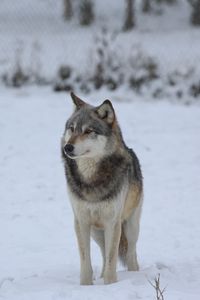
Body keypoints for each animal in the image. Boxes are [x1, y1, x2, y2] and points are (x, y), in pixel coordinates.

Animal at [60, 92, 142, 284]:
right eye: (72, 128)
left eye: (88, 131)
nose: (68, 147)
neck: (91, 178)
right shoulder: (81, 221)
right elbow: (86, 262)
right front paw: (86, 285)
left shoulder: (113, 222)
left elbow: (113, 260)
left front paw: (111, 285)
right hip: (96, 232)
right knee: (104, 255)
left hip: (130, 227)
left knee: (131, 255)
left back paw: (134, 275)